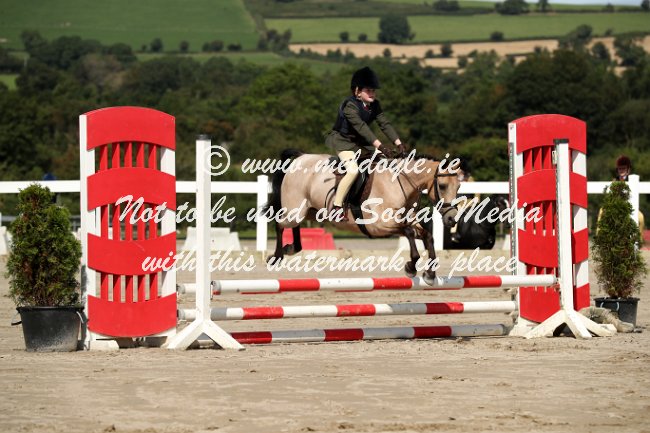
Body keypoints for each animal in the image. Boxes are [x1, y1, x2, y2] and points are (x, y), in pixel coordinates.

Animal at [262, 149, 460, 284]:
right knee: (279, 224)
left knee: (294, 226)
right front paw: (411, 267)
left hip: (311, 211)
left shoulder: (405, 221)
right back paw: (277, 256)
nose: (451, 219)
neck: (398, 184)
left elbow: (427, 236)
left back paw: (291, 248)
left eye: (458, 186)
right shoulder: (379, 226)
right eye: (442, 186)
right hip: (294, 210)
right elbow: (409, 232)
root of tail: (300, 157)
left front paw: (430, 274)